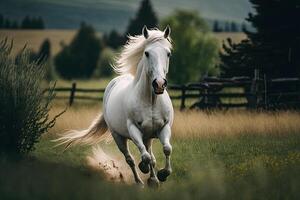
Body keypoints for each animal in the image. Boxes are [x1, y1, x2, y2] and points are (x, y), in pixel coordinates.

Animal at [56, 25, 173, 187]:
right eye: (147, 53)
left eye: (168, 53)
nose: (159, 84)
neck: (151, 101)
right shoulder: (133, 129)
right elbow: (145, 158)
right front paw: (145, 169)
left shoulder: (164, 127)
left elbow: (167, 149)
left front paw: (163, 174)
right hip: (118, 136)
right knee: (131, 159)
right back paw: (140, 182)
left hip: (148, 136)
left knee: (150, 155)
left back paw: (154, 180)